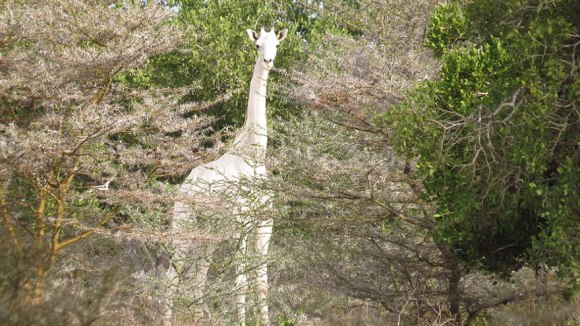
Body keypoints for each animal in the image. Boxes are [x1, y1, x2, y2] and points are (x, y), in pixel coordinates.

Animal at [164, 26, 286, 324]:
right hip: (184, 225)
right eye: (257, 45)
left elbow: (261, 283)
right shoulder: (240, 224)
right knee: (172, 277)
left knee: (197, 279)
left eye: (276, 45)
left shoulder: (264, 225)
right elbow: (240, 283)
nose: (268, 62)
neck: (253, 158)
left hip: (209, 235)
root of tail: (183, 186)